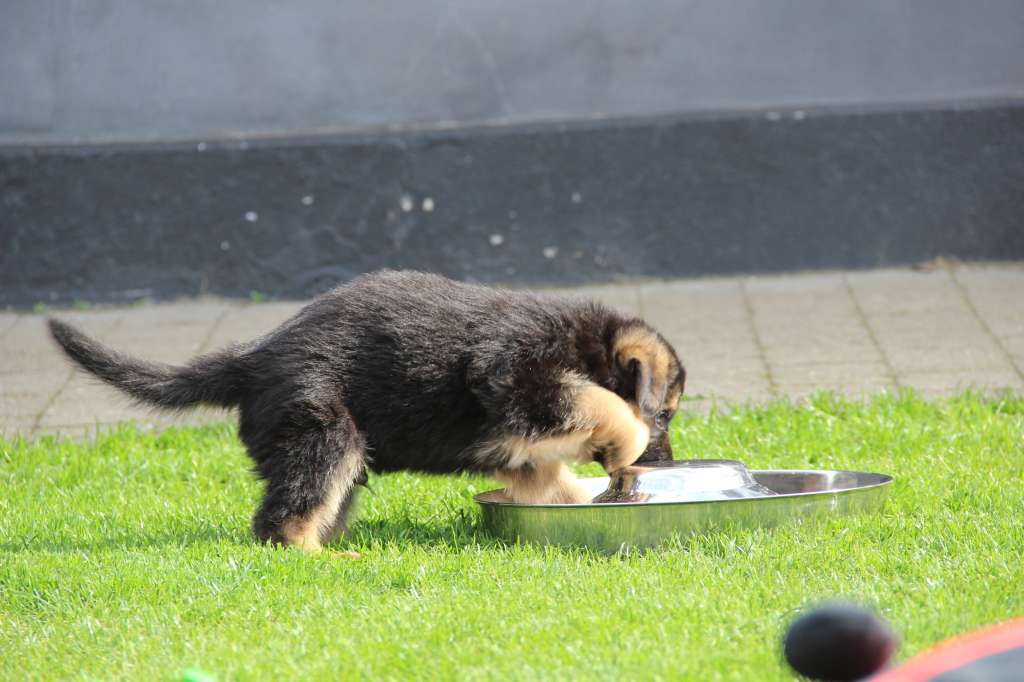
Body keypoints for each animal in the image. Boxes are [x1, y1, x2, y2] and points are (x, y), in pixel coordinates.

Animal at [48, 270, 686, 552]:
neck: (582, 345)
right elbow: (600, 401)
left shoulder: (524, 443)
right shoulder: (515, 377)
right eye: (668, 414)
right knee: (281, 521)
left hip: (328, 448)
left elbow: (557, 481)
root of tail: (256, 356)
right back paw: (322, 559)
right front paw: (624, 442)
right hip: (322, 433)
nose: (662, 467)